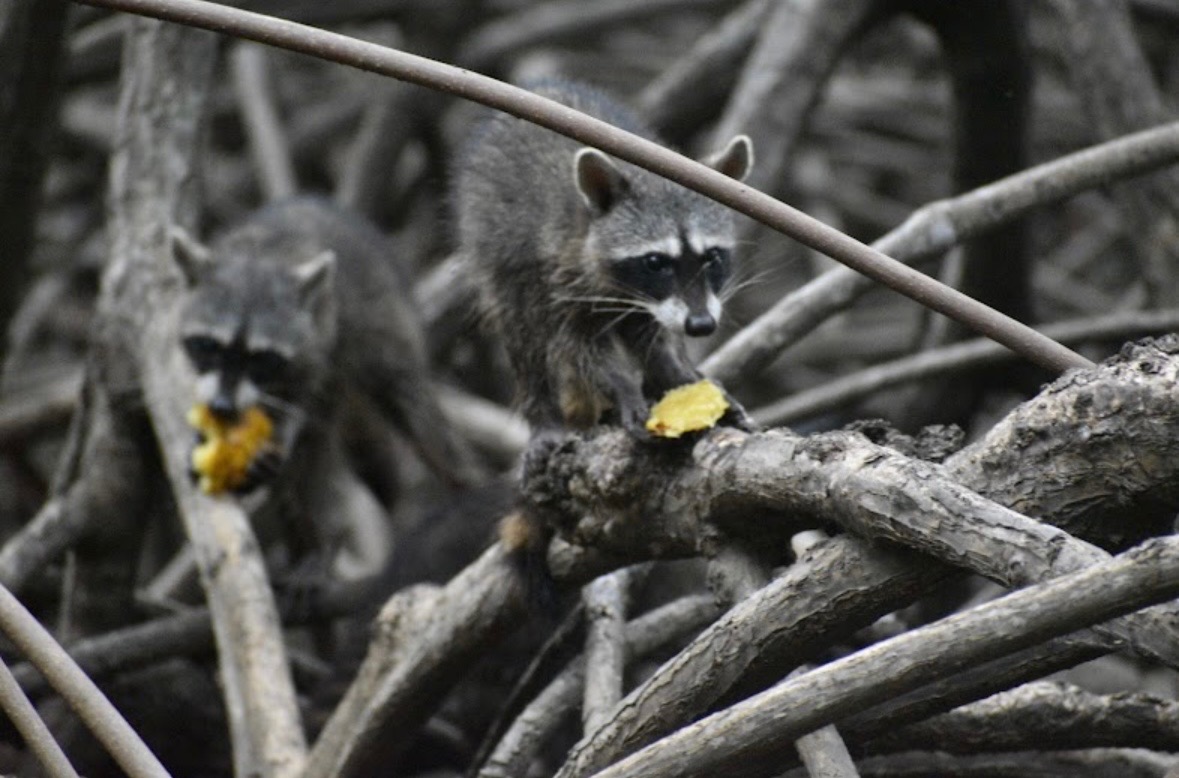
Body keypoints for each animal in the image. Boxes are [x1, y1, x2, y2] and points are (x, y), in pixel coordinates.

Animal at [454, 80, 754, 436]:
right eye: (655, 263)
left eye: (712, 257)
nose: (701, 325)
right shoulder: (560, 271)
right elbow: (580, 345)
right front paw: (622, 387)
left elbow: (654, 339)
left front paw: (676, 373)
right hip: (495, 248)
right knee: (523, 329)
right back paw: (543, 413)